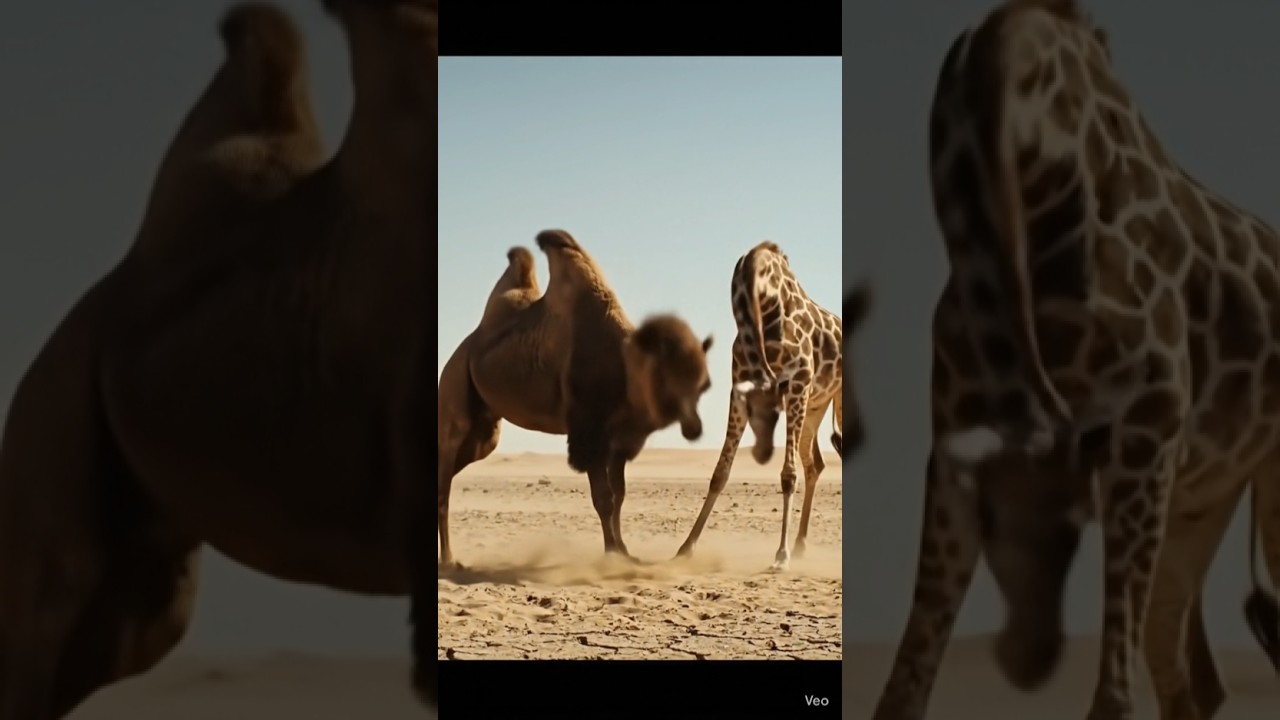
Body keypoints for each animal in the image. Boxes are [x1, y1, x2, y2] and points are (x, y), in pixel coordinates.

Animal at [438, 229, 715, 568]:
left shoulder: (619, 438)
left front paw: (625, 552)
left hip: (483, 434)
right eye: (669, 382)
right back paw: (449, 559)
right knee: (444, 487)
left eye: (703, 386)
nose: (694, 428)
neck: (623, 367)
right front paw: (612, 554)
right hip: (454, 403)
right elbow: (603, 499)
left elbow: (619, 495)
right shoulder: (588, 432)